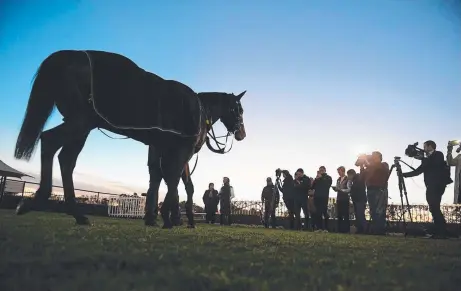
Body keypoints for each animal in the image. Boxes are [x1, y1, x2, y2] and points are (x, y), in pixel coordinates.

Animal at [13, 49, 244, 228]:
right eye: (239, 110)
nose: (242, 133)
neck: (200, 109)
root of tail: (67, 55)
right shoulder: (181, 149)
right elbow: (173, 180)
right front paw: (171, 218)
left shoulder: (162, 148)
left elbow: (164, 178)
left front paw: (162, 217)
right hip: (81, 121)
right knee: (50, 141)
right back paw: (39, 200)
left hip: (81, 125)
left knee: (66, 159)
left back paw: (75, 213)